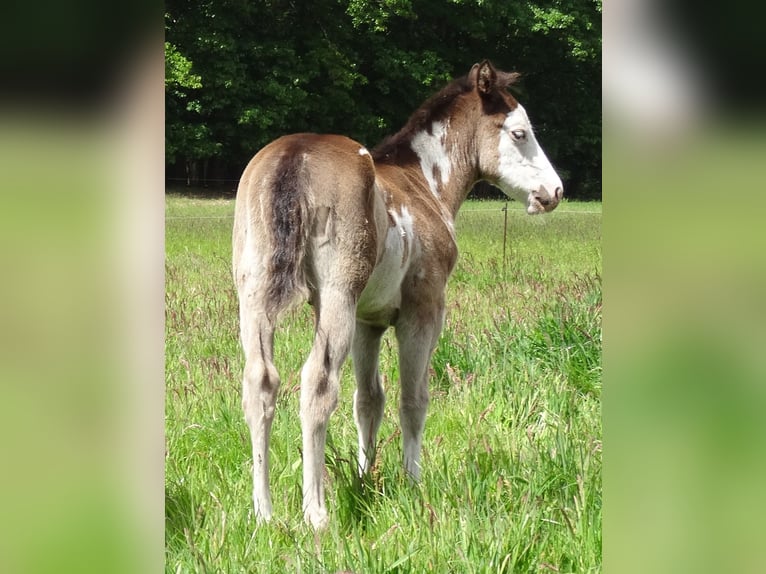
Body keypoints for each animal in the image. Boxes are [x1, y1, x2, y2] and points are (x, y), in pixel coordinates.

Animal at [232, 60, 563, 529]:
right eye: (519, 133)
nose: (554, 193)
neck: (423, 185)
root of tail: (295, 154)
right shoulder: (423, 312)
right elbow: (413, 399)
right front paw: (412, 483)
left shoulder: (367, 323)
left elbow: (369, 400)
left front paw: (366, 480)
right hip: (337, 296)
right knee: (317, 384)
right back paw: (316, 513)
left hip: (255, 293)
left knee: (260, 381)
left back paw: (263, 512)